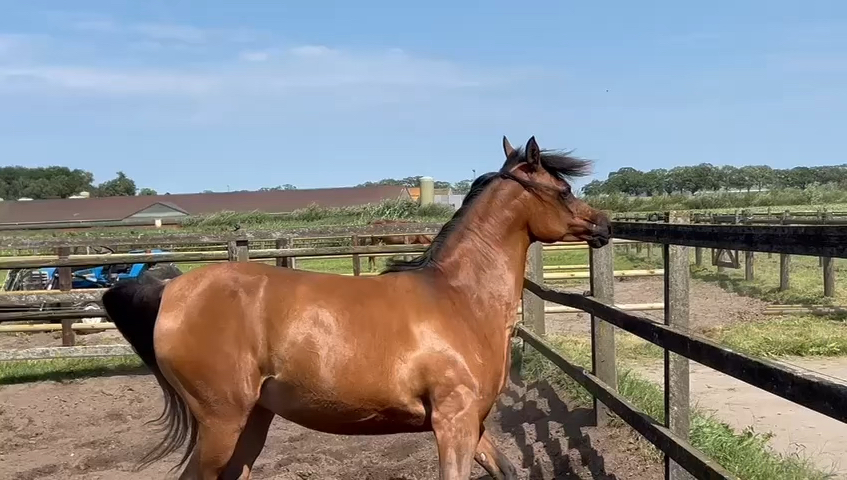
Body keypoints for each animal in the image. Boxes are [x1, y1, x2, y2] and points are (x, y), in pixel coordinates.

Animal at [101, 135, 612, 480]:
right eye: (563, 190)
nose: (605, 225)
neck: (460, 299)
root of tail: (172, 291)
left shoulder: (475, 423)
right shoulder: (454, 422)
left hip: (251, 422)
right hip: (221, 423)